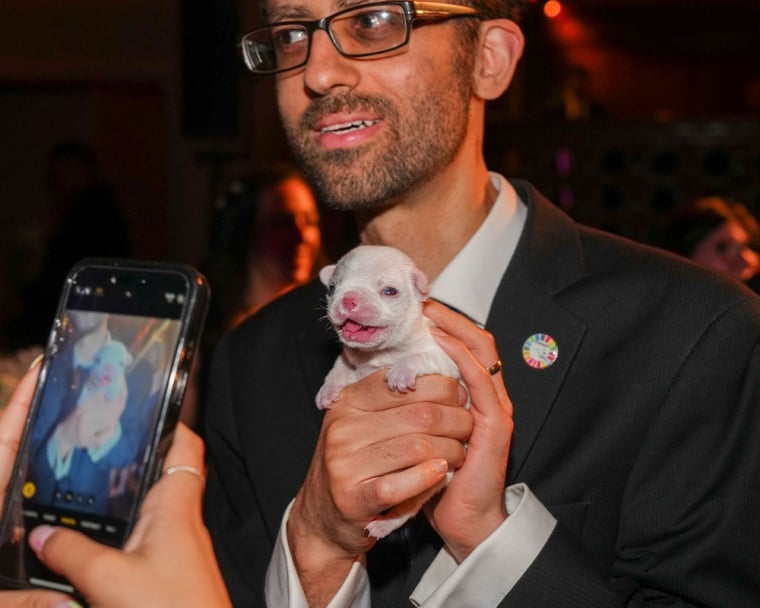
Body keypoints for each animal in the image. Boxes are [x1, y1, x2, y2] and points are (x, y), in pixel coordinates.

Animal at [316, 245, 460, 540]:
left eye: (389, 291)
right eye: (333, 287)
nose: (348, 299)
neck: (378, 354)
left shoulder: (444, 356)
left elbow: (419, 357)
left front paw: (401, 372)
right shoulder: (349, 358)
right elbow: (338, 367)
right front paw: (327, 391)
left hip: (431, 477)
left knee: (408, 508)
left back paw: (385, 524)